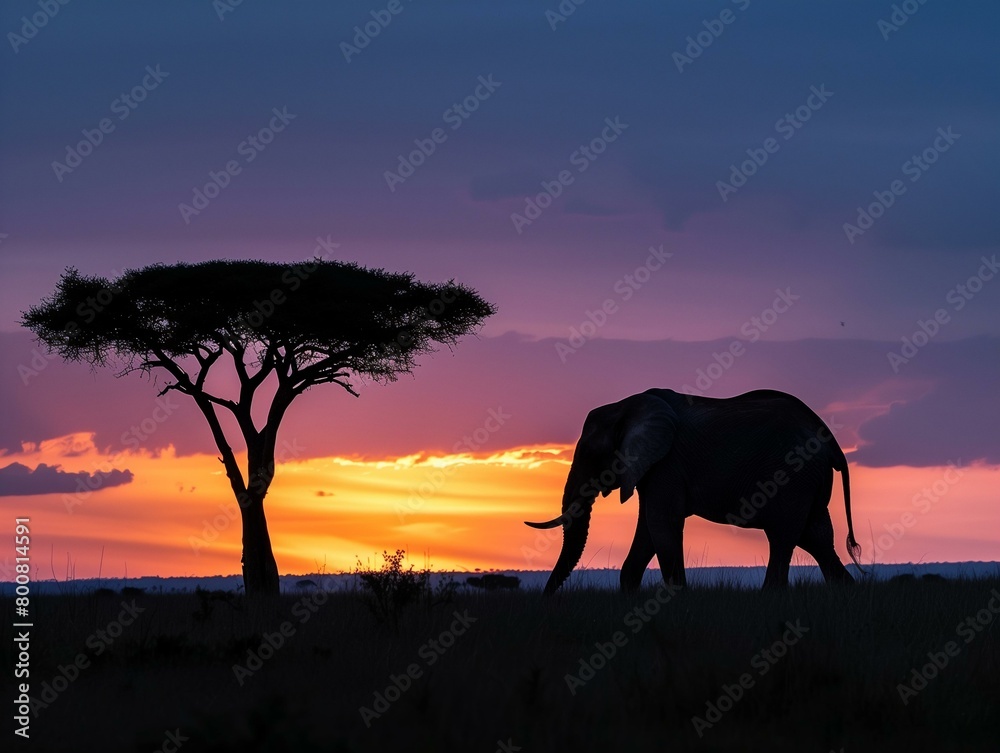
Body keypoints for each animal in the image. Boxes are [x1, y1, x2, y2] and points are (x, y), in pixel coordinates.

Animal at [525, 388, 862, 595]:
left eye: (591, 454)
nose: (546, 599)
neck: (626, 407)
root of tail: (831, 441)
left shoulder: (667, 465)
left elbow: (661, 524)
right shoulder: (653, 468)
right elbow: (649, 530)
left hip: (793, 475)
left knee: (783, 537)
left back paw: (770, 596)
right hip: (809, 481)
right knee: (816, 537)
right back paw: (847, 591)